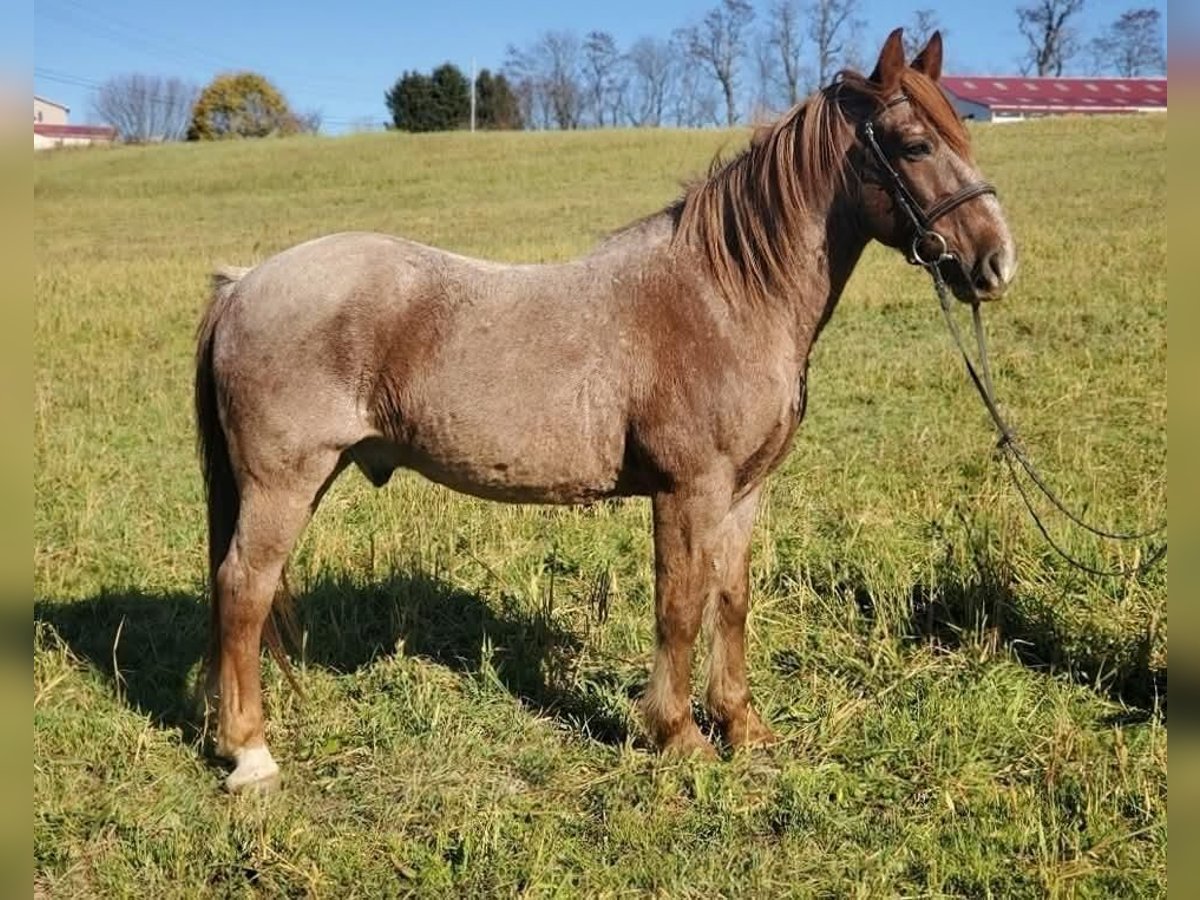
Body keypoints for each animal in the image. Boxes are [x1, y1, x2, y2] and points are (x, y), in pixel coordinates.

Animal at [194, 28, 1012, 792]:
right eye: (915, 144)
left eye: (965, 136)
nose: (996, 263)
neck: (725, 296)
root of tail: (246, 283)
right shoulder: (689, 492)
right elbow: (680, 606)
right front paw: (679, 736)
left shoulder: (743, 492)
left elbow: (732, 600)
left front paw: (743, 727)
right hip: (283, 484)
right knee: (243, 589)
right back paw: (251, 756)